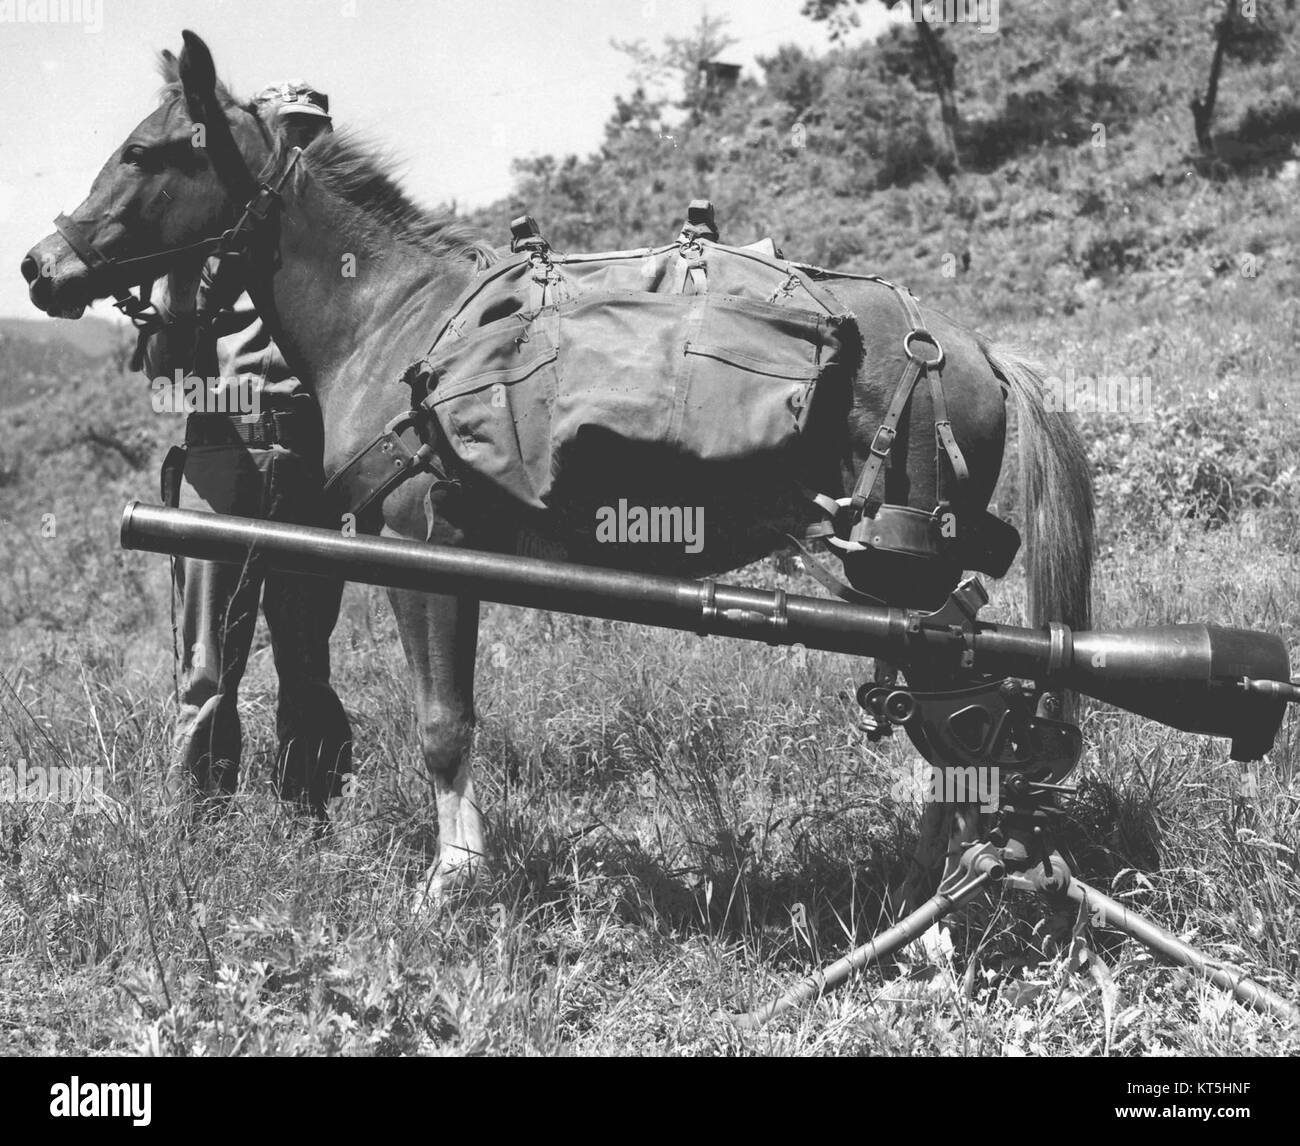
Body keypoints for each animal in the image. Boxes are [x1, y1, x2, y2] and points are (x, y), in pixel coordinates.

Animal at [21, 31, 1094, 903]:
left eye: (146, 152)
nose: (40, 267)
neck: (393, 318)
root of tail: (972, 348)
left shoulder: (425, 550)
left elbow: (443, 723)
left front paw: (455, 880)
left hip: (895, 573)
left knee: (954, 719)